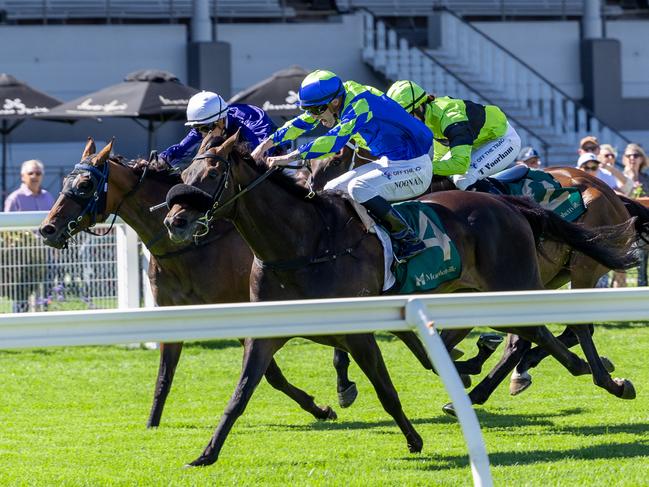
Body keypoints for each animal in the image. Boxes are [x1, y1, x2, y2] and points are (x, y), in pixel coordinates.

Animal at [38, 137, 340, 428]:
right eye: (65, 182)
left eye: (85, 185)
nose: (47, 228)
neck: (191, 247)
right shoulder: (173, 312)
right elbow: (164, 376)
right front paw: (152, 423)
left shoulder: (237, 311)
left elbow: (271, 373)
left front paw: (319, 408)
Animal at [161, 132, 632, 468]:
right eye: (183, 176)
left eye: (212, 173)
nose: (174, 221)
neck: (307, 241)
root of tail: (513, 206)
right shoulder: (267, 331)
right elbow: (240, 394)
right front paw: (206, 453)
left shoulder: (358, 329)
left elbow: (386, 389)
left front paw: (413, 438)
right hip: (482, 291)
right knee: (531, 333)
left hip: (522, 283)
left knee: (552, 329)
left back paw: (599, 376)